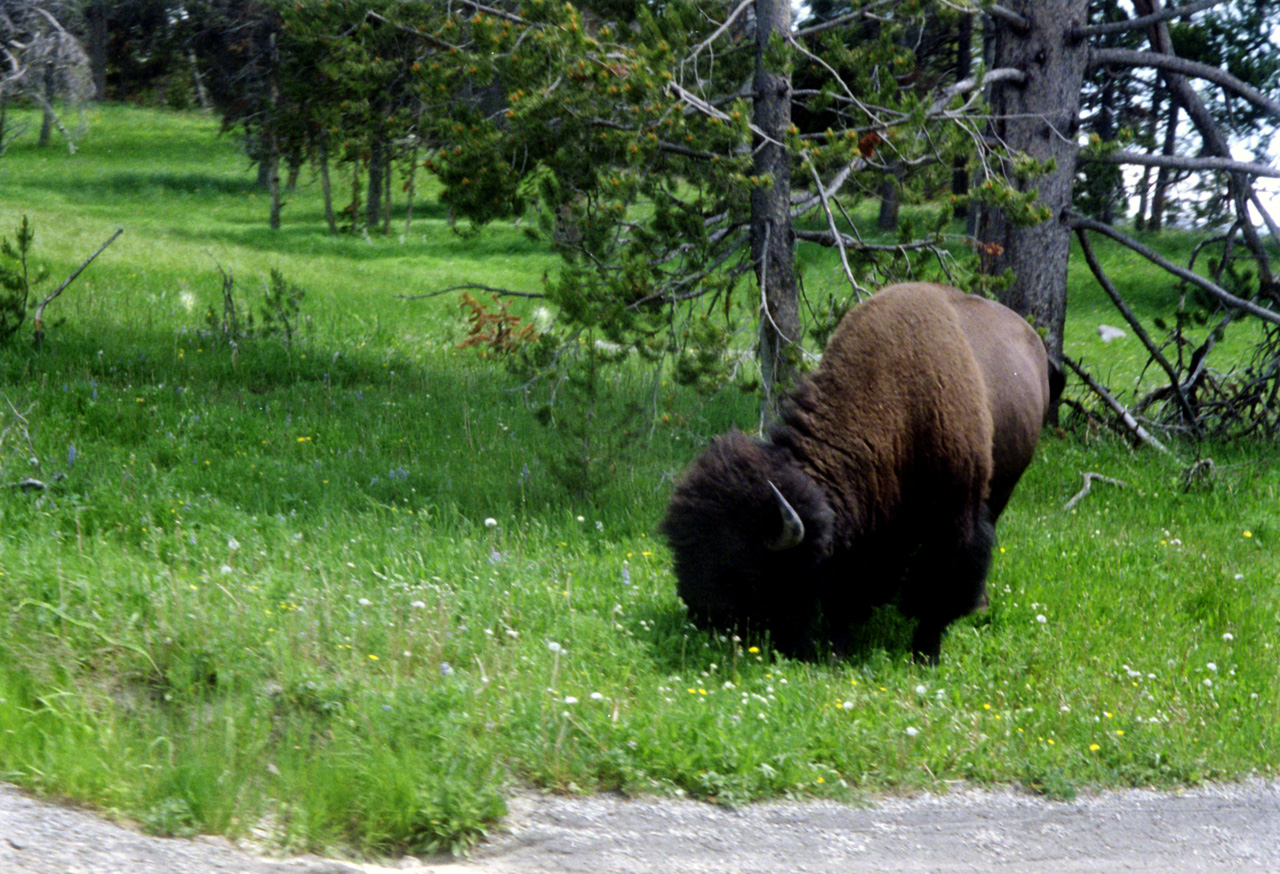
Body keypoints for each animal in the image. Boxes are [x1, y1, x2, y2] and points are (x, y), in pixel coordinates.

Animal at [660, 284, 1049, 665]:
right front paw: (837, 650)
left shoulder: (955, 518)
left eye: (739, 567)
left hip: (1001, 490)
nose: (699, 614)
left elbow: (938, 590)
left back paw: (976, 605)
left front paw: (925, 654)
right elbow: (844, 594)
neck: (894, 401)